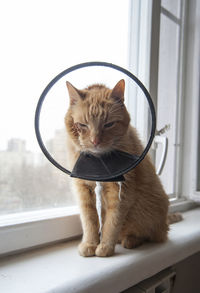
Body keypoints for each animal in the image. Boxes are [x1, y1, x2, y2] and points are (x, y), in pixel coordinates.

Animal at [65, 79, 173, 256]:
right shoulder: (84, 192)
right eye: (82, 125)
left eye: (109, 124)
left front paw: (105, 247)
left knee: (147, 235)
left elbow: (112, 223)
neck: (98, 164)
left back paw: (130, 240)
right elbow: (89, 221)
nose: (95, 141)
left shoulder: (121, 194)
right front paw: (90, 243)